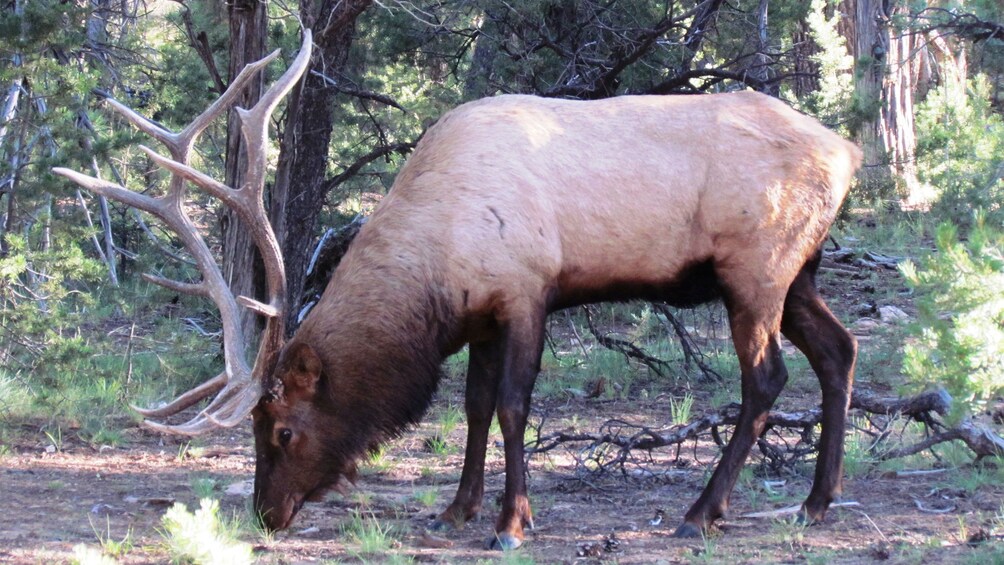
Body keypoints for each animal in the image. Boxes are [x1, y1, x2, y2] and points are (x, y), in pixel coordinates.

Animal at [54, 30, 859, 549]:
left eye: (280, 429)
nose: (265, 513)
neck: (436, 269)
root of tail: (848, 150)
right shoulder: (478, 319)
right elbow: (472, 407)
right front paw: (455, 510)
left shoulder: (528, 289)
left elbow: (512, 405)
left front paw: (511, 524)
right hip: (801, 271)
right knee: (839, 350)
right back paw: (816, 501)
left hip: (756, 267)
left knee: (766, 378)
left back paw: (702, 512)